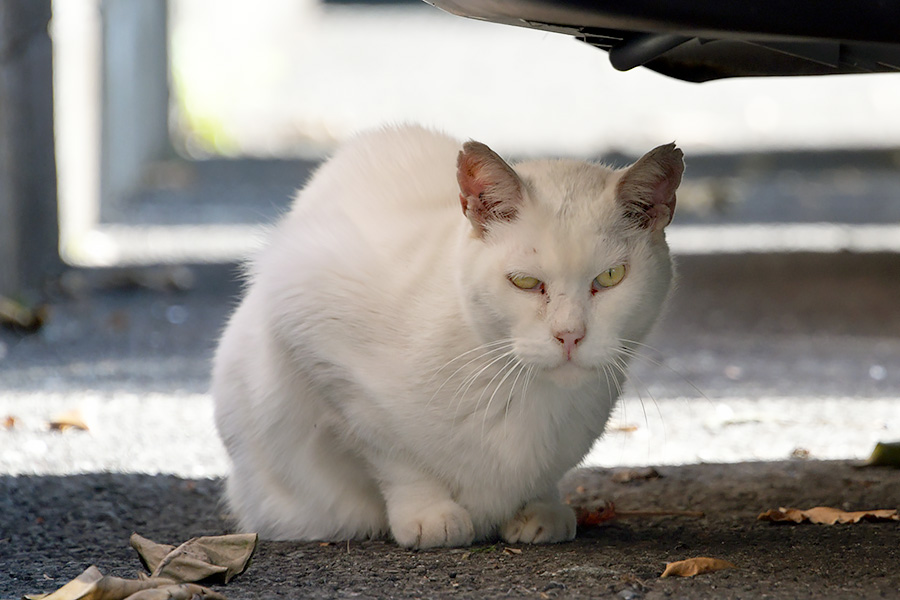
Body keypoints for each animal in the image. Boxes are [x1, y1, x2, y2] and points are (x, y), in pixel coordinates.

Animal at [213, 125, 684, 548]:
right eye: (525, 282)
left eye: (610, 277)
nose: (569, 335)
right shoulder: (311, 323)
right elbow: (393, 454)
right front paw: (428, 514)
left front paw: (539, 506)